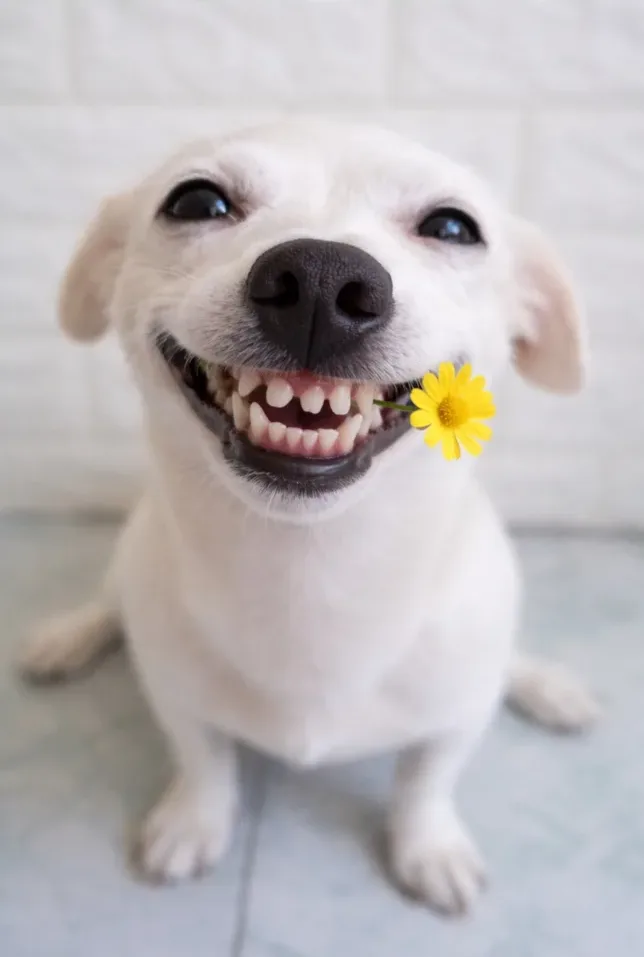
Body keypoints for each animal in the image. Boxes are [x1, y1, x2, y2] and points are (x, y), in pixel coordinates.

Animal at [20, 119, 598, 915]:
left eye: (454, 226)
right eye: (196, 201)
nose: (322, 278)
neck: (312, 566)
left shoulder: (455, 718)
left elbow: (426, 782)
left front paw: (429, 847)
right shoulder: (176, 696)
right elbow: (203, 760)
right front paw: (194, 820)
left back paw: (546, 686)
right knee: (108, 605)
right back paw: (65, 639)